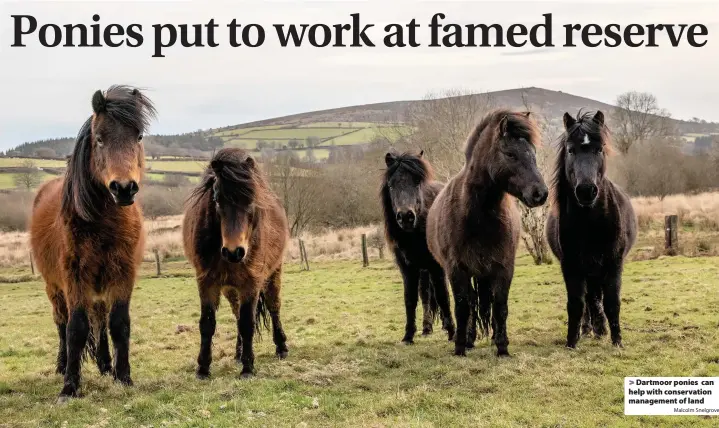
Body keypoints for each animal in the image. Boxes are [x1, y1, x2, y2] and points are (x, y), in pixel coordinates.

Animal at [30, 86, 156, 402]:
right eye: (99, 139)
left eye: (138, 137)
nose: (124, 188)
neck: (104, 223)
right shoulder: (75, 278)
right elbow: (75, 328)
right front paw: (70, 387)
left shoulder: (123, 274)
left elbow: (118, 324)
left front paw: (123, 377)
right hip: (55, 288)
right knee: (61, 322)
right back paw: (63, 365)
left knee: (100, 321)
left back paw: (105, 365)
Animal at [183, 147, 290, 378]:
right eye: (216, 199)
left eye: (251, 200)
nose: (234, 252)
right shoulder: (206, 282)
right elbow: (207, 324)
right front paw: (203, 368)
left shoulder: (251, 283)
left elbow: (247, 323)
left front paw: (248, 368)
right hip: (230, 289)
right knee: (237, 314)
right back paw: (238, 353)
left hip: (273, 275)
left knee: (274, 307)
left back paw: (281, 347)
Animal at [382, 150, 456, 344]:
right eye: (391, 185)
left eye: (416, 182)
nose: (406, 217)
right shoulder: (408, 269)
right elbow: (411, 299)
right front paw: (408, 335)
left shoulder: (436, 266)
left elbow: (443, 296)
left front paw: (452, 333)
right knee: (425, 294)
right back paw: (427, 327)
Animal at [424, 108, 548, 356]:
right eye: (510, 154)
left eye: (533, 154)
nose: (540, 193)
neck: (477, 217)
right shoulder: (457, 270)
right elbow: (463, 307)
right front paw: (460, 348)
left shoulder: (503, 268)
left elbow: (500, 307)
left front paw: (502, 348)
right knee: (472, 304)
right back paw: (469, 340)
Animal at [548, 109, 640, 348]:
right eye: (571, 150)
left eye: (599, 149)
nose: (586, 191)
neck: (590, 222)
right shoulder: (571, 266)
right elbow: (576, 304)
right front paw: (572, 341)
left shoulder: (614, 263)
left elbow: (612, 302)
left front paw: (617, 341)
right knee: (589, 299)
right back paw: (589, 328)